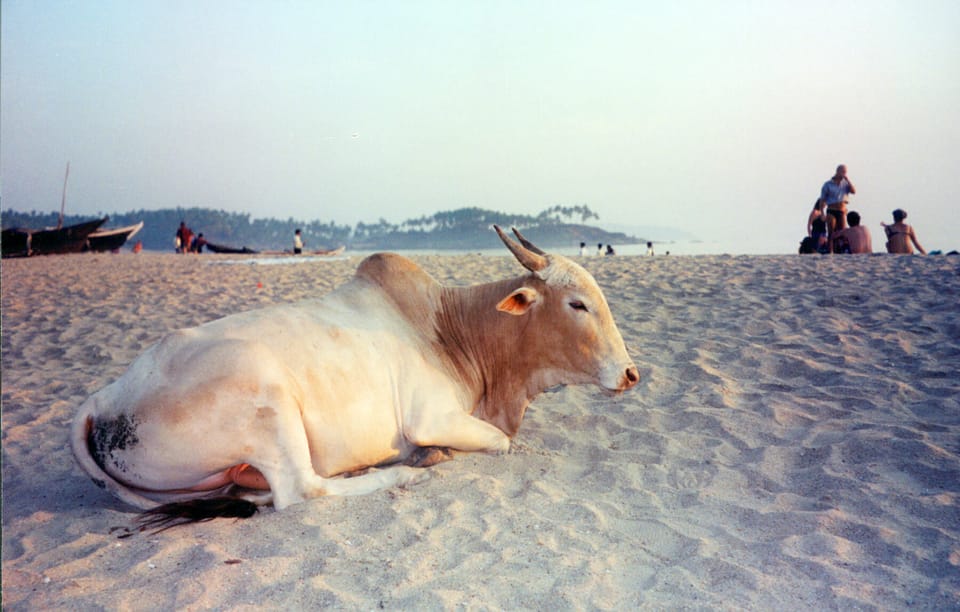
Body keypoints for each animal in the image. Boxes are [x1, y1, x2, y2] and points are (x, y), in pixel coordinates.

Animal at [71, 226, 639, 520]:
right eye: (577, 304)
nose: (631, 374)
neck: (451, 329)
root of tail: (102, 400)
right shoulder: (432, 418)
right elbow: (500, 442)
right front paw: (431, 455)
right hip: (268, 400)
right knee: (302, 490)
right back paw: (403, 471)